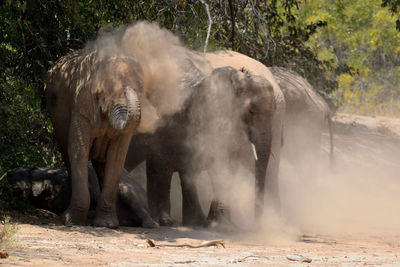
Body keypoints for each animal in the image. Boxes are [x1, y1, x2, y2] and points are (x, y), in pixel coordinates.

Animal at [45, 49, 143, 229]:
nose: (129, 89)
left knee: (102, 163)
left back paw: (120, 221)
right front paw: (72, 222)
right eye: (107, 92)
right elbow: (78, 150)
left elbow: (117, 157)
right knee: (68, 155)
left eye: (142, 89)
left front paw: (107, 225)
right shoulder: (80, 106)